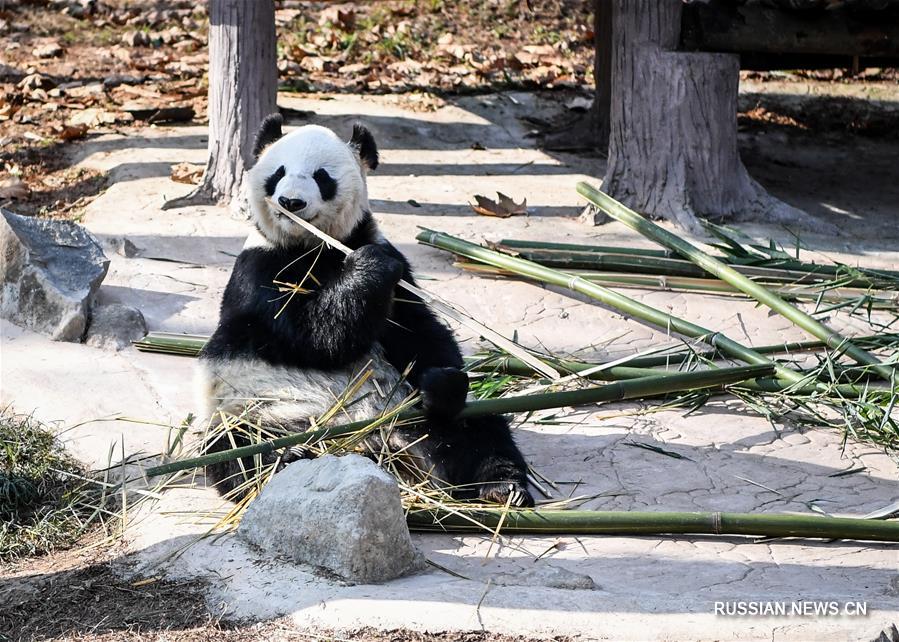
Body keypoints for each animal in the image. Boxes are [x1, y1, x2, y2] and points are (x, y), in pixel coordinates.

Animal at [197, 114, 536, 504]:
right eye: (278, 172)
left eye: (321, 176)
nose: (291, 202)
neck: (312, 246)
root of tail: (373, 443)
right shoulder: (259, 271)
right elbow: (311, 336)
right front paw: (368, 268)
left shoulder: (388, 259)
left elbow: (419, 332)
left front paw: (439, 381)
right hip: (252, 409)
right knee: (235, 450)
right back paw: (288, 458)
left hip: (411, 414)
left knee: (480, 429)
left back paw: (501, 485)